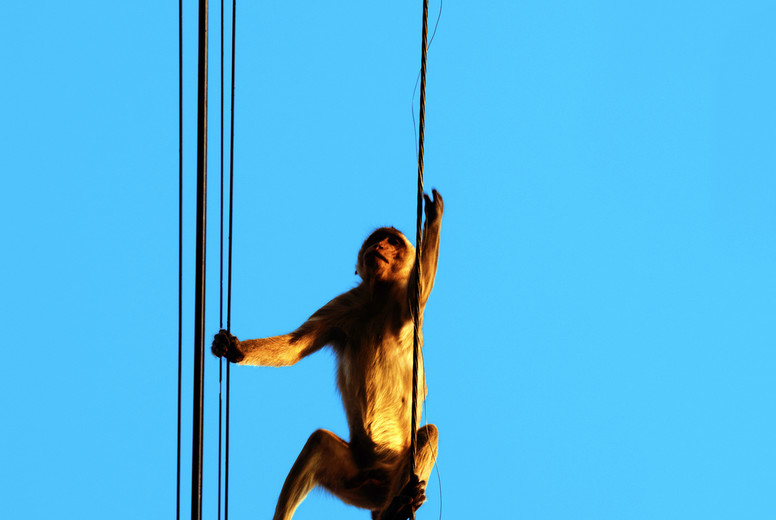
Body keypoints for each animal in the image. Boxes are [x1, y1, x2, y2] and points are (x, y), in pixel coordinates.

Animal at [211, 189, 443, 520]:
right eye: (378, 240)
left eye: (393, 242)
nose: (379, 247)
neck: (379, 300)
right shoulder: (346, 305)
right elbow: (295, 346)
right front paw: (235, 348)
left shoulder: (404, 302)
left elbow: (422, 286)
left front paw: (434, 218)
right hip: (360, 482)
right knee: (319, 442)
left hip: (392, 475)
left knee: (428, 433)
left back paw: (400, 507)